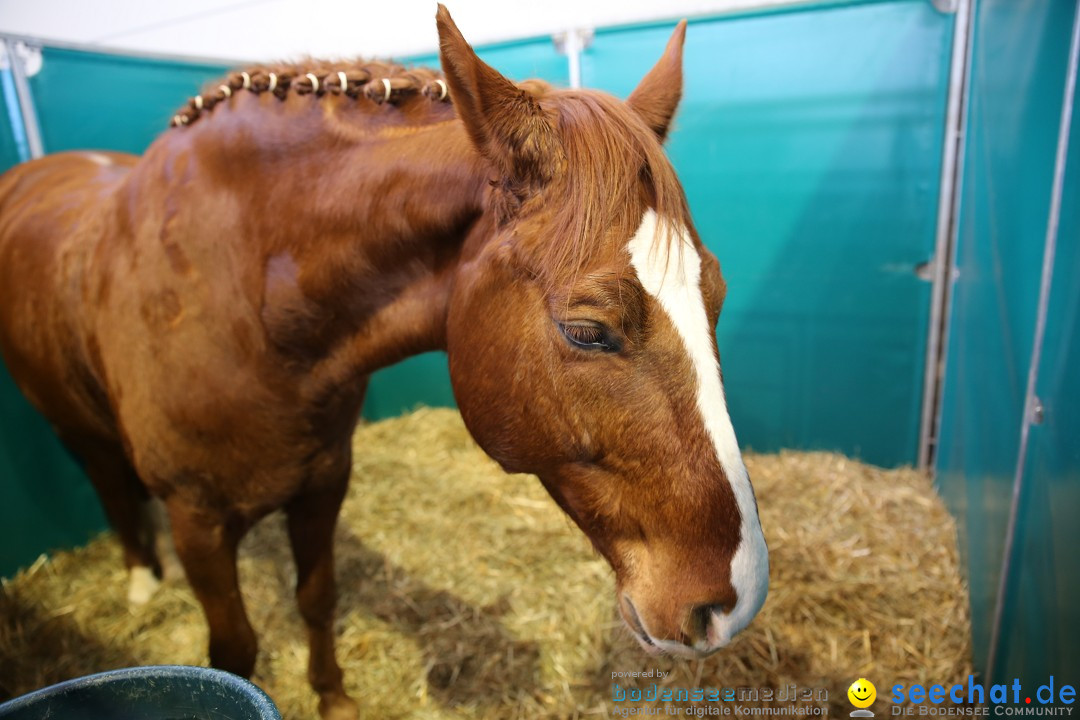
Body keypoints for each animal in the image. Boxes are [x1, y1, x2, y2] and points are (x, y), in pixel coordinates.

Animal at [0, 7, 768, 720]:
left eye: (718, 295)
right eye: (588, 331)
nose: (735, 601)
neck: (245, 300)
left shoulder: (323, 482)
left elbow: (317, 597)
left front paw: (335, 699)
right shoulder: (197, 521)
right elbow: (234, 652)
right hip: (73, 426)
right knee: (106, 480)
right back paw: (138, 578)